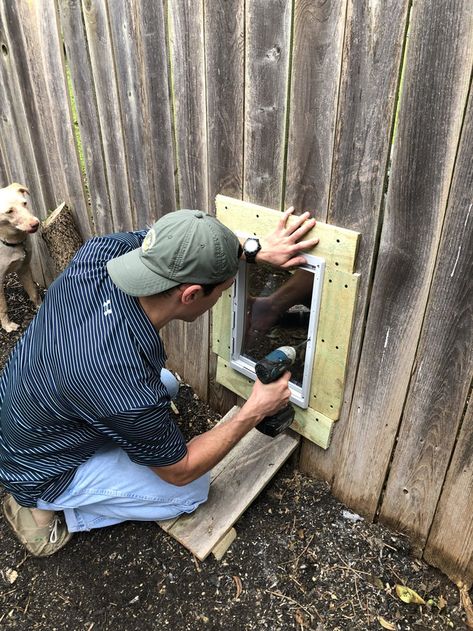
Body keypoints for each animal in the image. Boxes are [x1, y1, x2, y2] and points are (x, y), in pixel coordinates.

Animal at [0, 183, 41, 334]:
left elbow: (34, 293)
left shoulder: (24, 269)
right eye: (9, 211)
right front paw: (7, 326)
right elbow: (3, 307)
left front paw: (41, 307)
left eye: (24, 203)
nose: (35, 224)